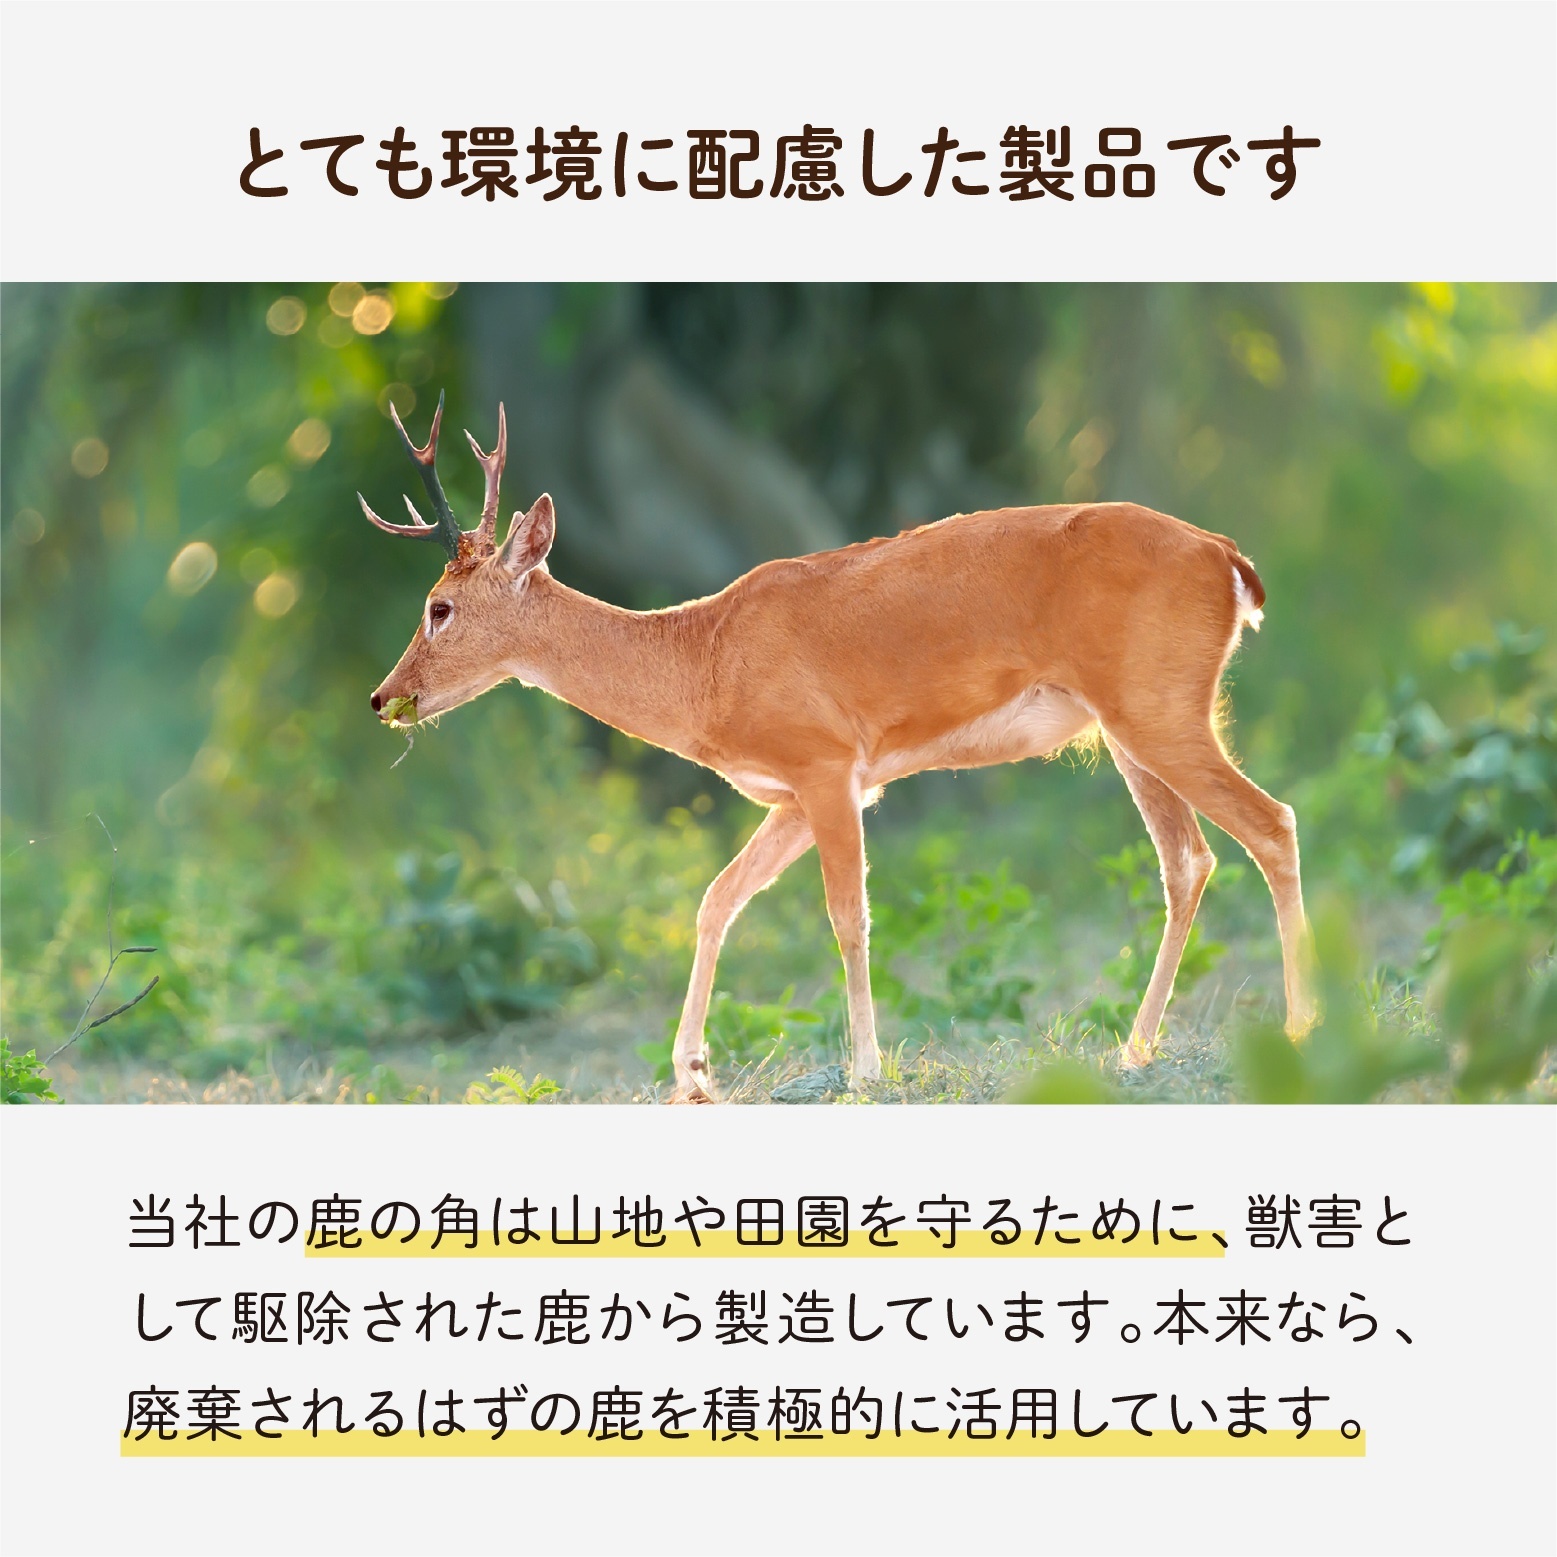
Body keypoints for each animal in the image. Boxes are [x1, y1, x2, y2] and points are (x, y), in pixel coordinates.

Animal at [362, 395, 1316, 1102]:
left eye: (439, 607)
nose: (382, 697)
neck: (701, 664)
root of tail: (1227, 558)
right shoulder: (788, 793)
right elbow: (715, 900)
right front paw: (692, 1073)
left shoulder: (826, 764)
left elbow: (846, 915)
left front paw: (864, 1068)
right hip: (1127, 725)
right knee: (1188, 859)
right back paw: (1134, 1049)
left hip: (1157, 706)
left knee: (1270, 822)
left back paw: (1300, 1023)